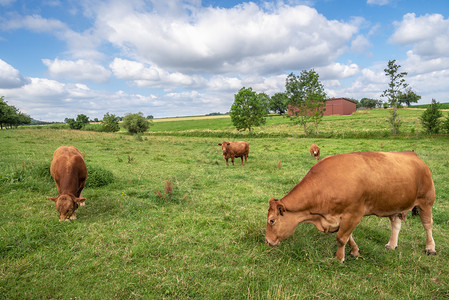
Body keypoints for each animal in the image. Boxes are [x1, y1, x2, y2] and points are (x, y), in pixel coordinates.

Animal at [264, 151, 436, 262]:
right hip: (396, 204)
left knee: (428, 225)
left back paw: (430, 248)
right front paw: (354, 251)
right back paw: (391, 244)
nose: (267, 241)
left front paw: (339, 258)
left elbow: (341, 238)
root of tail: (413, 154)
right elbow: (348, 236)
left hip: (426, 201)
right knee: (396, 223)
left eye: (272, 221)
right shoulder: (344, 216)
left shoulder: (354, 213)